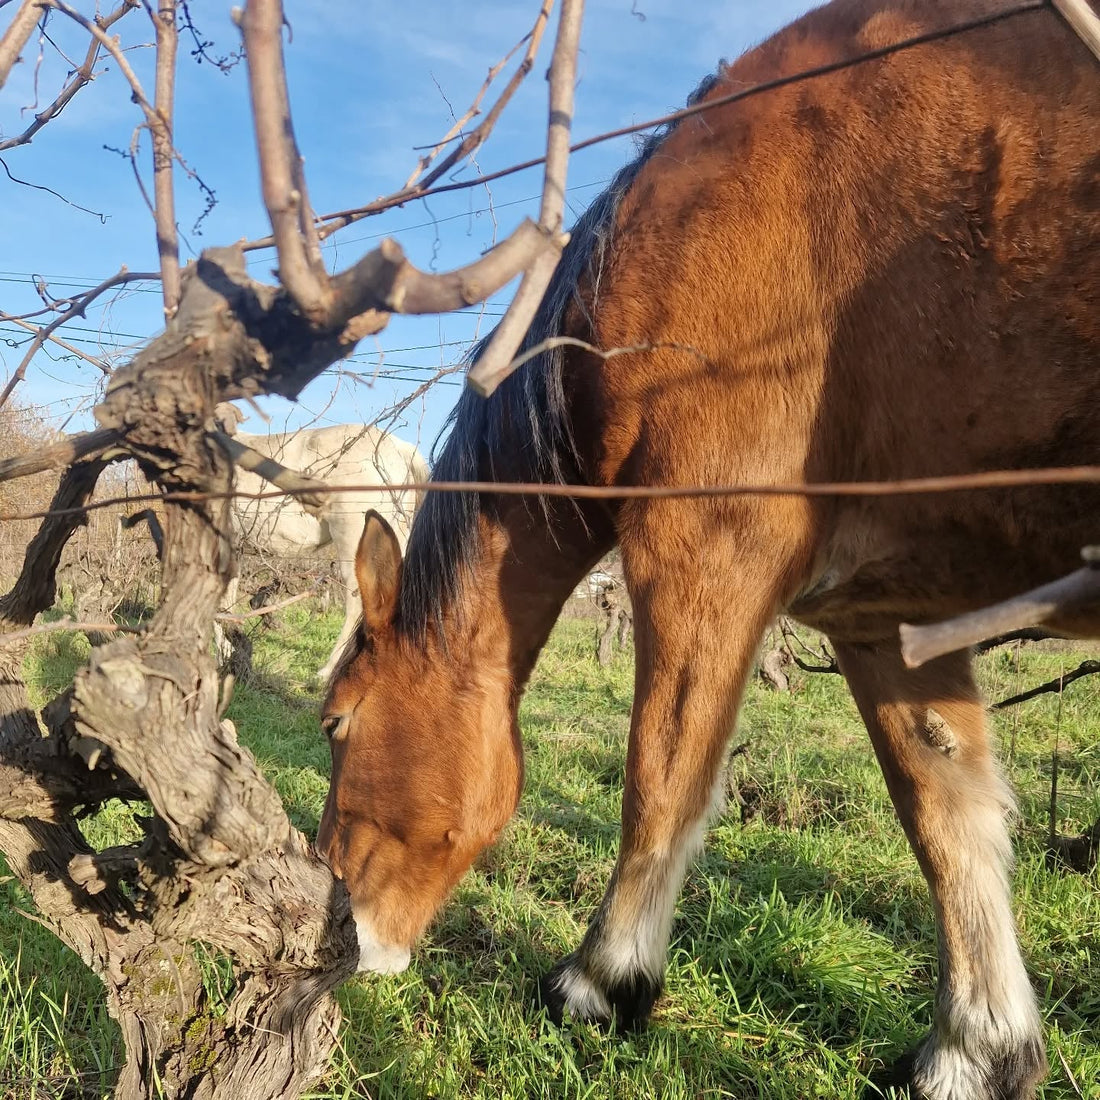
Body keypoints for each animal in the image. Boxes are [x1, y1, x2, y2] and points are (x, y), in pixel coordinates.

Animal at [317, 1, 1100, 1096]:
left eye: (336, 724)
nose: (338, 931)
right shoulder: (886, 617)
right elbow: (946, 813)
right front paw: (975, 1047)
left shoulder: (704, 555)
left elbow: (663, 773)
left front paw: (602, 981)